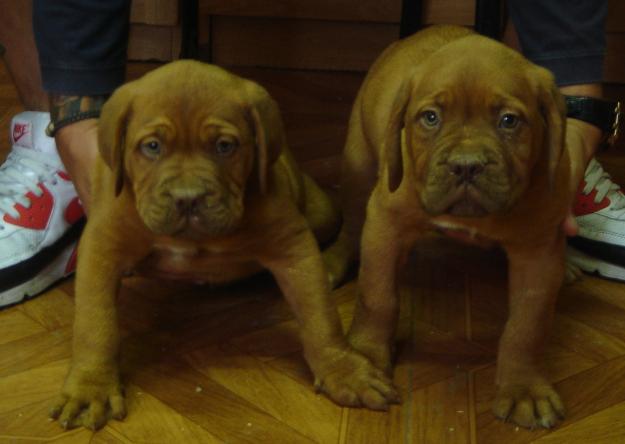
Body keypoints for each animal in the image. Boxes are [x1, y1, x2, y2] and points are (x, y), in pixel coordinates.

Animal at [51, 59, 398, 430]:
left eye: (224, 146)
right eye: (152, 147)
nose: (188, 198)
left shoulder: (294, 247)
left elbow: (319, 314)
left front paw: (342, 369)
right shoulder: (102, 247)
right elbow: (94, 323)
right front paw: (91, 386)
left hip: (322, 214)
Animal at [324, 26, 584, 428]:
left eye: (509, 121)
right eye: (430, 118)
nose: (466, 165)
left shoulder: (538, 252)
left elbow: (527, 325)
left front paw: (523, 387)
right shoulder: (385, 223)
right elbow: (377, 296)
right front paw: (365, 355)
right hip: (358, 163)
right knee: (351, 227)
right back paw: (333, 262)